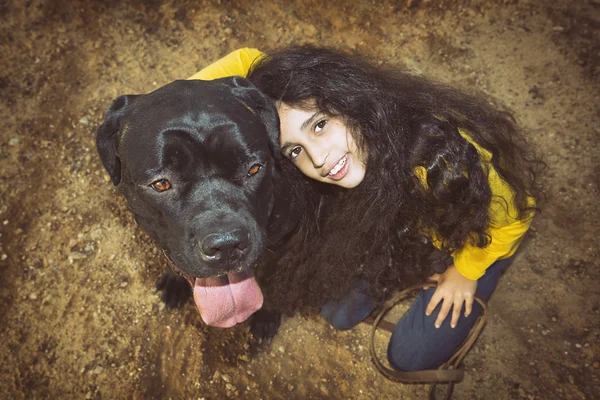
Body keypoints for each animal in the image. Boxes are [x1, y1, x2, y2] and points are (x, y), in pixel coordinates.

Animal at [96, 77, 308, 338]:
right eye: (161, 184)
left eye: (254, 169)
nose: (226, 245)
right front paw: (174, 282)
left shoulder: (284, 240)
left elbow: (271, 279)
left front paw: (266, 316)